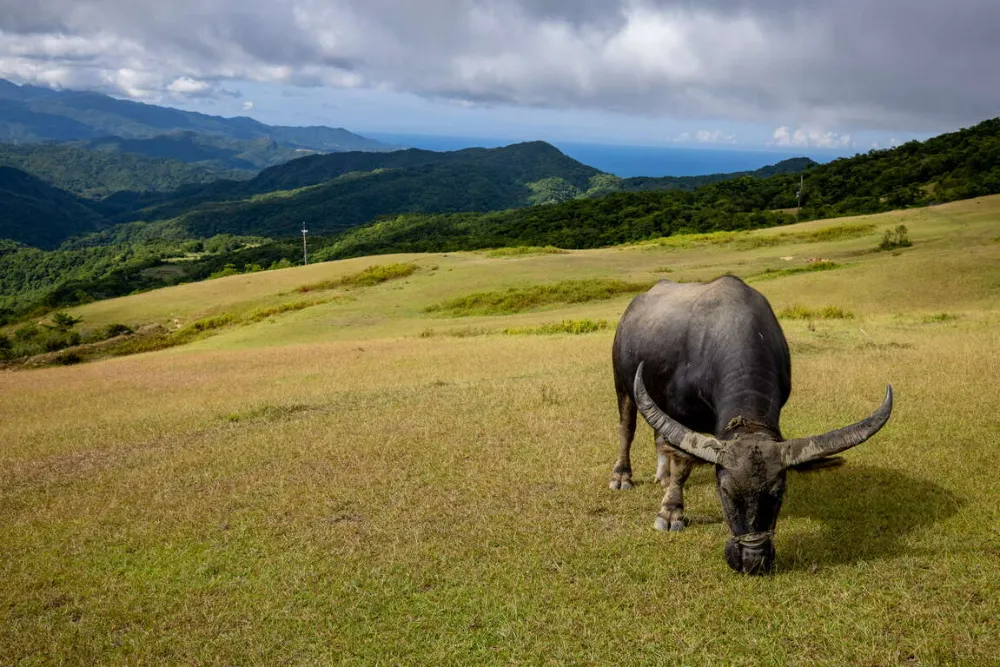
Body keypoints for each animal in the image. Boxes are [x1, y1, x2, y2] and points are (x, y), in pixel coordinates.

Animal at [608, 276, 892, 576]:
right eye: (725, 491)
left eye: (778, 493)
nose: (752, 560)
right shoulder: (678, 411)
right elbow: (682, 464)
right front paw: (671, 512)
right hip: (622, 384)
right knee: (627, 429)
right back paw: (622, 476)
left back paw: (662, 475)